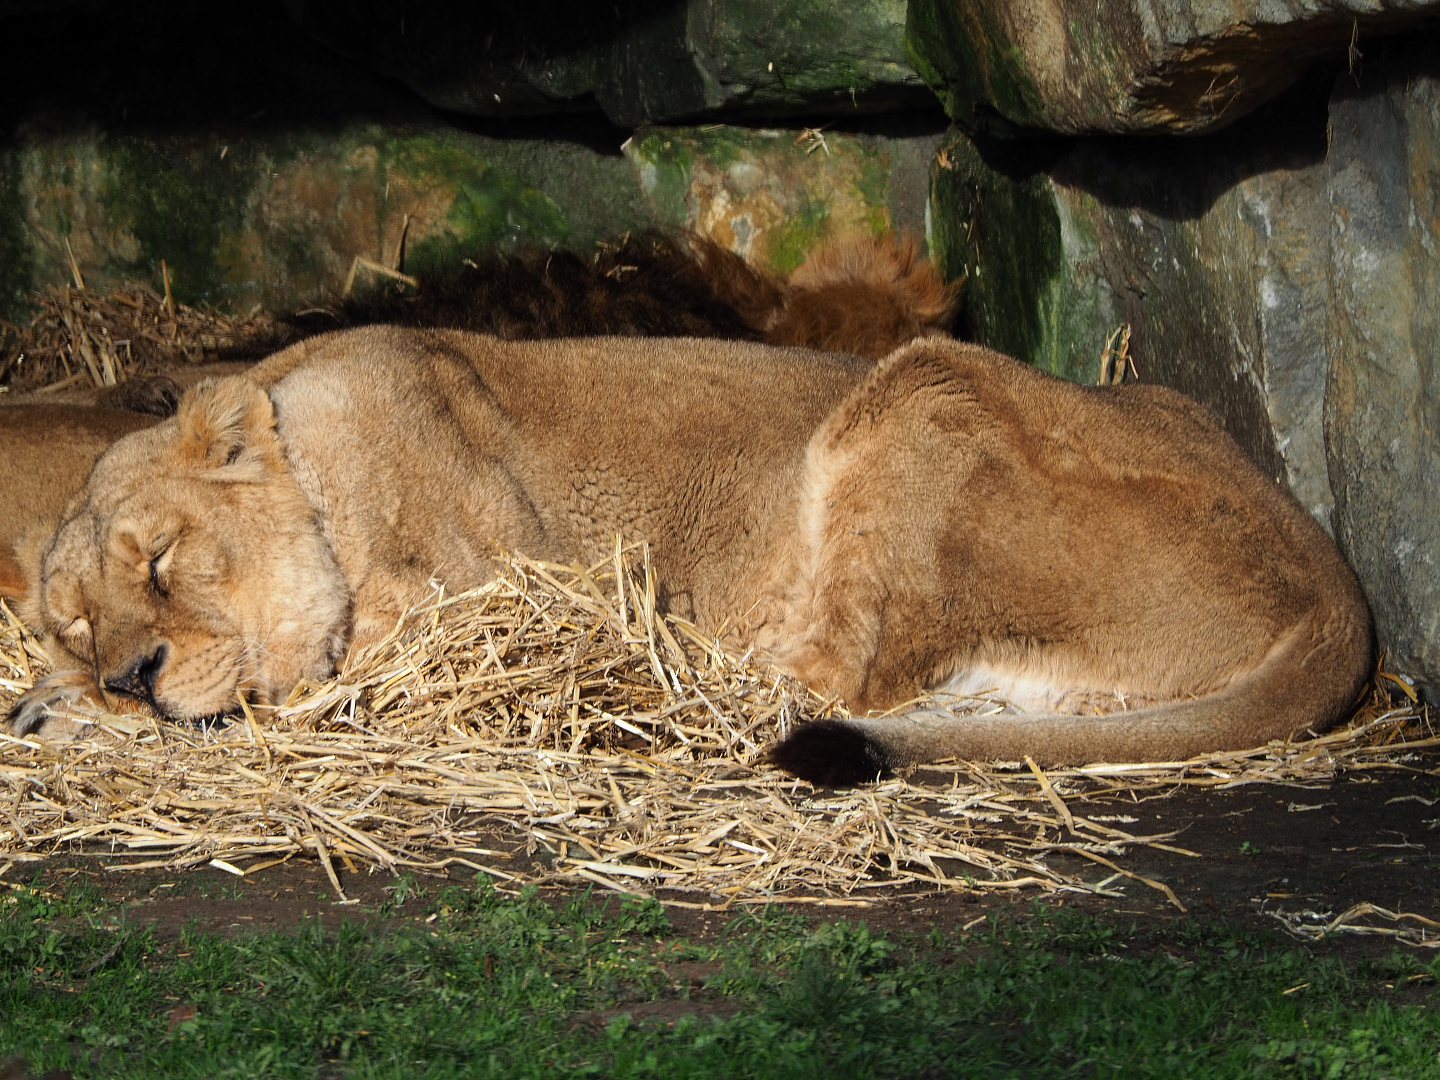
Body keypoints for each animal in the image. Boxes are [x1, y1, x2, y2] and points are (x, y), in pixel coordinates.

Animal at [5, 326, 1371, 784]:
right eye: (74, 618)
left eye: (162, 561)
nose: (124, 674)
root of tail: (1333, 583)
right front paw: (56, 703)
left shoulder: (494, 613)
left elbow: (300, 696)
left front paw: (68, 719)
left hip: (920, 388)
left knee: (832, 679)